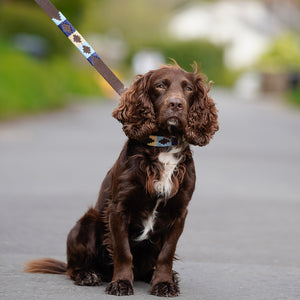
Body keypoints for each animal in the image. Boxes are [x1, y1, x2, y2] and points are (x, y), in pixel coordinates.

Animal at [24, 62, 218, 296]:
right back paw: (87, 274)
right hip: (86, 223)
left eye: (188, 89)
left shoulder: (178, 212)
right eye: (160, 85)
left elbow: (167, 254)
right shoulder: (119, 208)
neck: (163, 146)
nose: (176, 104)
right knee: (73, 268)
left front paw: (164, 283)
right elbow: (123, 251)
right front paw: (121, 283)